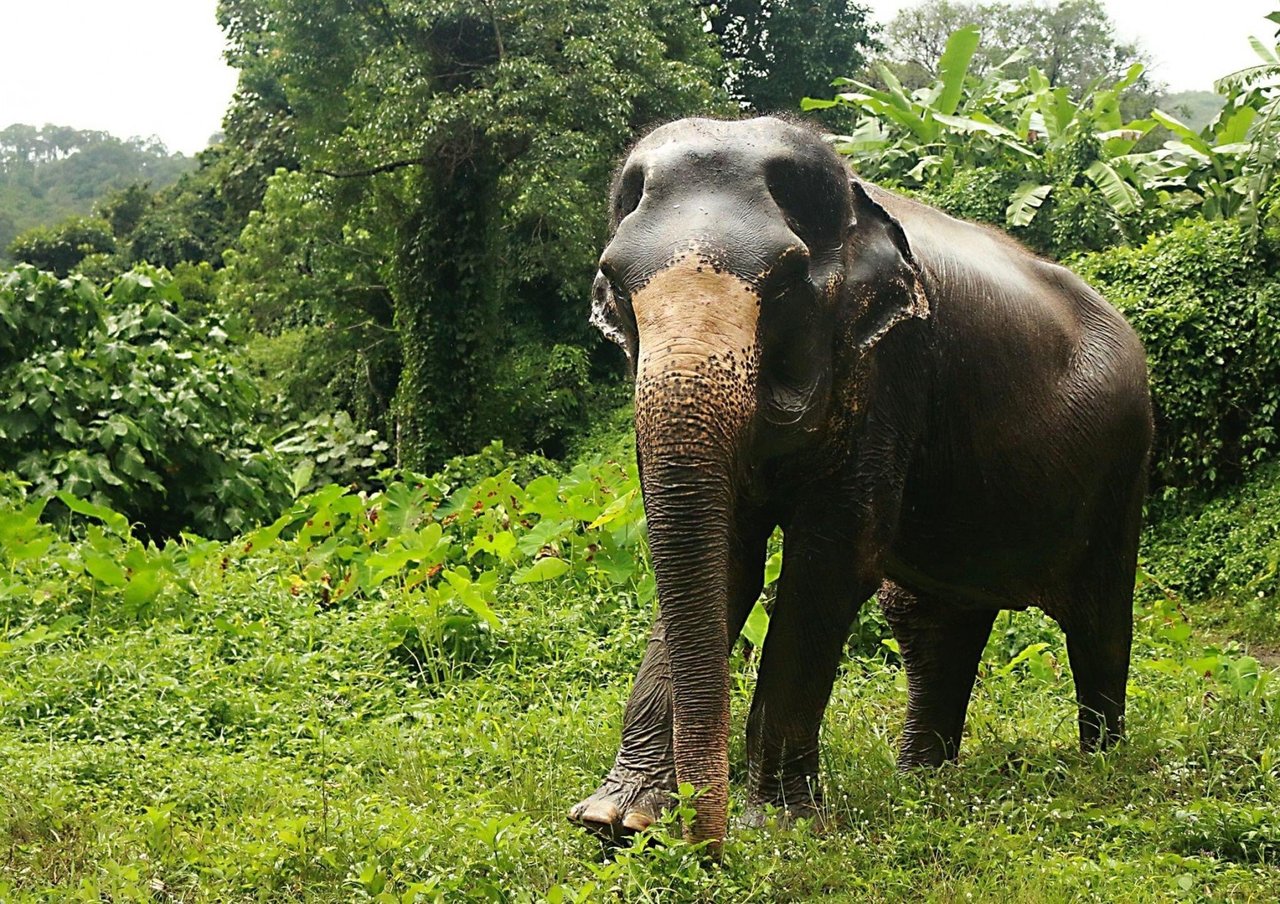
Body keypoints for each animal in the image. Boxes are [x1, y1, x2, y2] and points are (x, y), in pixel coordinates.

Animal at [565, 116, 1157, 850]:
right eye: (615, 282)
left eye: (785, 284)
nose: (706, 843)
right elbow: (729, 559)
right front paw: (613, 822)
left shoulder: (890, 369)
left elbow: (834, 561)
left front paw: (778, 828)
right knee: (933, 621)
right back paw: (922, 782)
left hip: (1123, 463)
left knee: (1099, 619)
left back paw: (1100, 767)